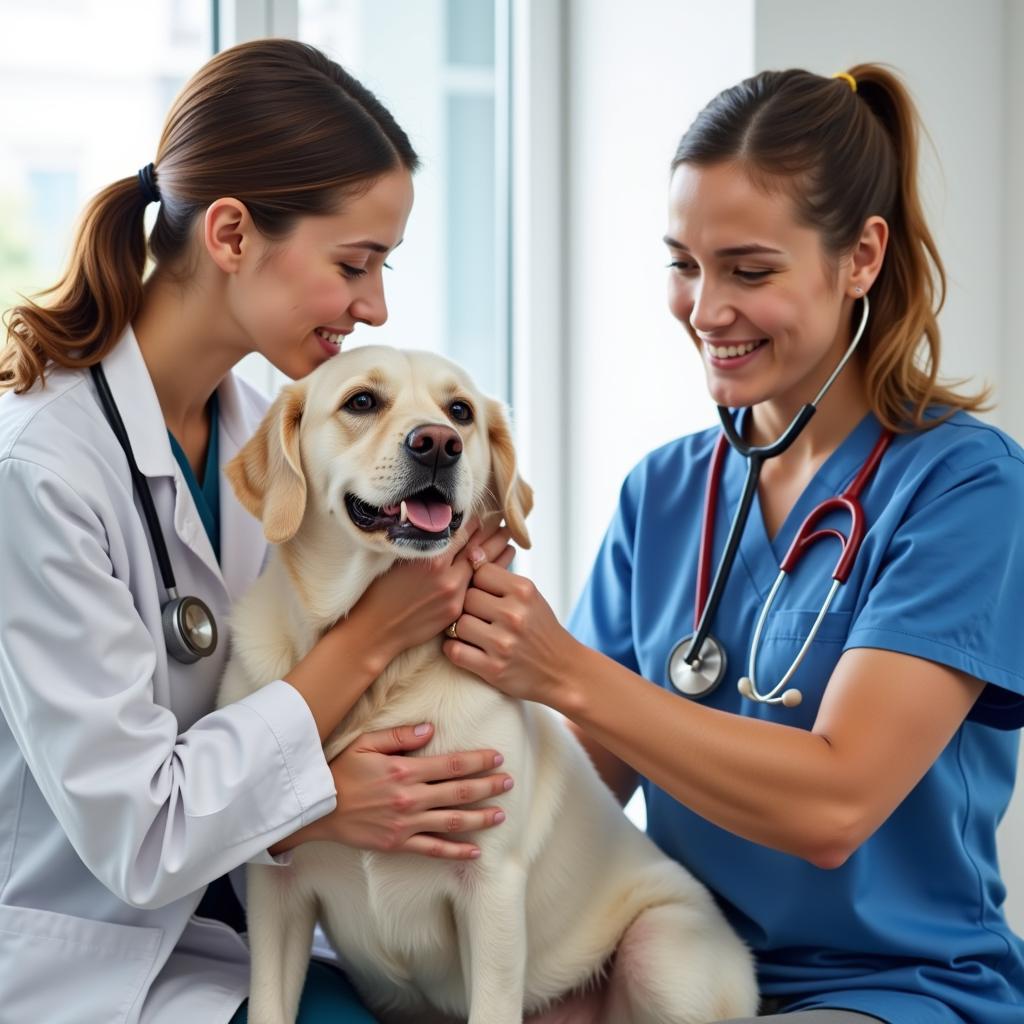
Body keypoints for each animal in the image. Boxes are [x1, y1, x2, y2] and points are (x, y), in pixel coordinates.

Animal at [218, 350, 761, 1024]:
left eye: (460, 412)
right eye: (361, 401)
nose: (438, 444)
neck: (383, 679)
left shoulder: (492, 889)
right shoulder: (277, 890)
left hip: (663, 953)